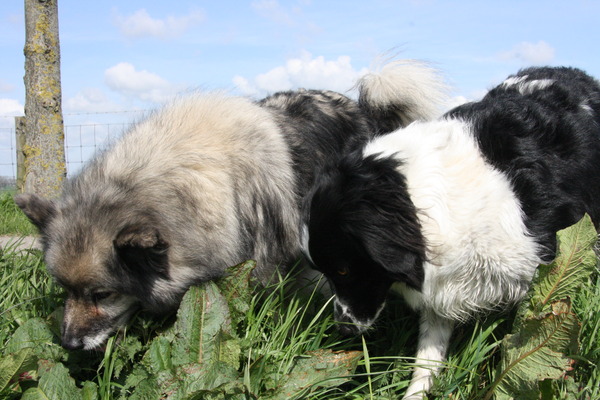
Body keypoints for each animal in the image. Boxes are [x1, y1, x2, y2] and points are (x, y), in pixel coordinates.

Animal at [302, 67, 600, 398]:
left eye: (343, 271)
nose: (343, 328)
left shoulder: (539, 271)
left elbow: (523, 339)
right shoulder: (445, 284)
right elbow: (428, 355)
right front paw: (416, 392)